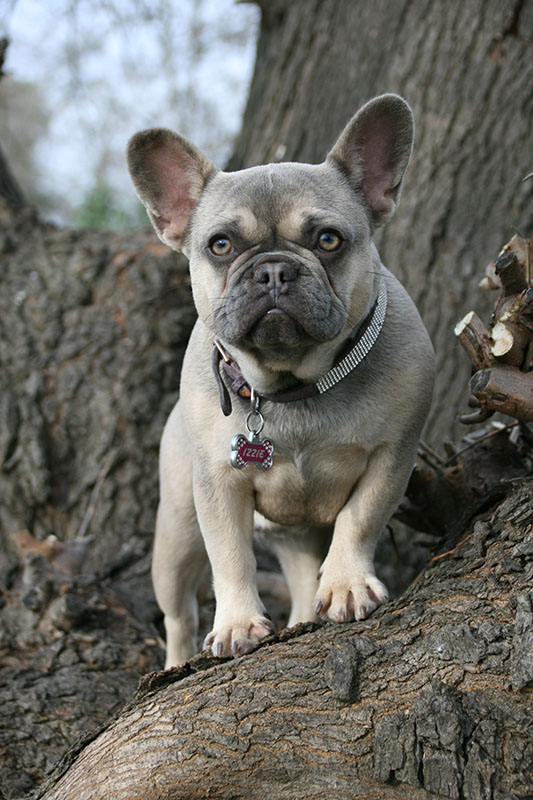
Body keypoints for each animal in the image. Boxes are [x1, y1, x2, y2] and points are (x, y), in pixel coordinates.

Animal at [128, 95, 432, 668]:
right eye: (221, 245)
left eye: (328, 240)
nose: (272, 270)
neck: (294, 385)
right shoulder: (218, 485)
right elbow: (231, 556)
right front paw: (237, 624)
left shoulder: (391, 455)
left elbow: (360, 517)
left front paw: (348, 585)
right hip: (176, 533)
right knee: (179, 614)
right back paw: (178, 664)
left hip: (297, 534)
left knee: (304, 575)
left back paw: (309, 613)